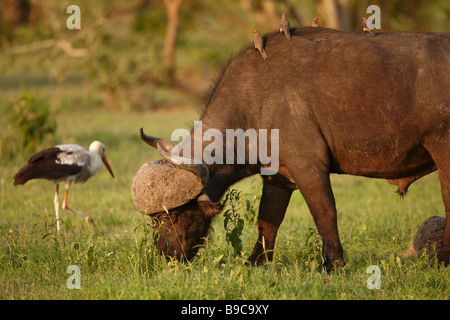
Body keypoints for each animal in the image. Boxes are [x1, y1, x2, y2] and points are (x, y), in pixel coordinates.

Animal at [132, 26, 448, 270]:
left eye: (174, 215)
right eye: (154, 219)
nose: (166, 255)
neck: (253, 100)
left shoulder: (308, 167)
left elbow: (324, 213)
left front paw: (333, 264)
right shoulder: (278, 177)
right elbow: (267, 220)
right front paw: (256, 261)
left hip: (442, 150)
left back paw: (439, 260)